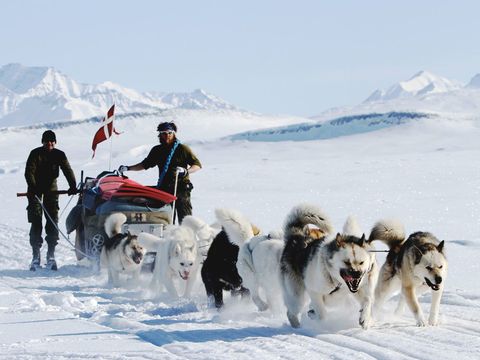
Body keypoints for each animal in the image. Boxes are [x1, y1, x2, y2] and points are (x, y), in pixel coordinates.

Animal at [282, 202, 378, 330]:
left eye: (361, 262)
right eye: (346, 262)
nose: (357, 274)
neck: (338, 282)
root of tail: (296, 238)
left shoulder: (361, 288)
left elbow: (368, 300)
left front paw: (365, 319)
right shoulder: (314, 291)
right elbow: (322, 313)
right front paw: (321, 323)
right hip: (296, 297)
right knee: (291, 312)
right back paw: (298, 326)